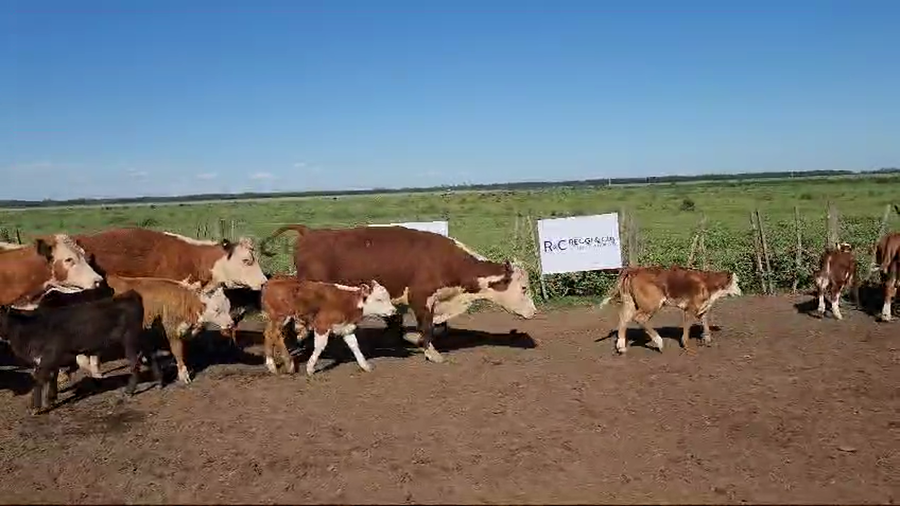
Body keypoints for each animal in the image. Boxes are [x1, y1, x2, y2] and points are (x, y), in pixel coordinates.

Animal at [0, 290, 163, 415]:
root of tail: (130, 295)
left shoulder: (47, 359)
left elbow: (39, 381)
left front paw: (36, 408)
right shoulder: (48, 361)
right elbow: (51, 378)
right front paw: (51, 400)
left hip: (129, 340)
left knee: (135, 364)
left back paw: (129, 391)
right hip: (138, 339)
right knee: (150, 354)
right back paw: (159, 382)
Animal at [259, 224, 537, 364]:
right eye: (524, 288)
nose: (534, 312)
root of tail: (309, 233)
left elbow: (407, 324)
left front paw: (408, 339)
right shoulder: (421, 298)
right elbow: (426, 326)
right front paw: (430, 352)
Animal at [260, 276, 397, 375]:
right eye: (379, 299)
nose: (393, 310)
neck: (348, 303)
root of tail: (271, 281)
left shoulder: (346, 328)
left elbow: (354, 346)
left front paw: (365, 366)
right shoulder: (322, 325)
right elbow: (320, 346)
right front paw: (310, 368)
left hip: (275, 319)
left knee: (268, 333)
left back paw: (271, 366)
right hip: (281, 316)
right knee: (276, 334)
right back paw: (289, 365)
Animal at [598, 265, 742, 354]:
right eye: (736, 283)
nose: (740, 292)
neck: (706, 284)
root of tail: (634, 270)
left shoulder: (702, 307)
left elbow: (705, 321)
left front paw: (707, 339)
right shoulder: (689, 310)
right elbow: (687, 328)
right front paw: (687, 346)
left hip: (630, 303)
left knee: (624, 319)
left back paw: (621, 347)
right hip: (652, 304)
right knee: (639, 318)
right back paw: (659, 342)